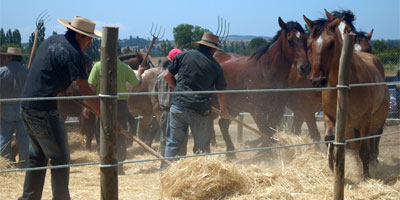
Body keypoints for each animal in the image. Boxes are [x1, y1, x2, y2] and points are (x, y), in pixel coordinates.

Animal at [214, 17, 310, 153]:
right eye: (290, 40)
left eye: (305, 39)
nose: (305, 67)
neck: (266, 73)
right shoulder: (257, 111)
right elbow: (265, 130)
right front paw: (263, 153)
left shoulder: (277, 110)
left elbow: (269, 131)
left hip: (231, 108)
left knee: (222, 124)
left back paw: (231, 153)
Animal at [304, 15, 390, 177]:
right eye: (309, 45)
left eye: (331, 44)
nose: (318, 80)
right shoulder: (330, 117)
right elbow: (329, 139)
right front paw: (332, 165)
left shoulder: (365, 121)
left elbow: (364, 151)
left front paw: (366, 176)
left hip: (377, 121)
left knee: (374, 141)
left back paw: (373, 163)